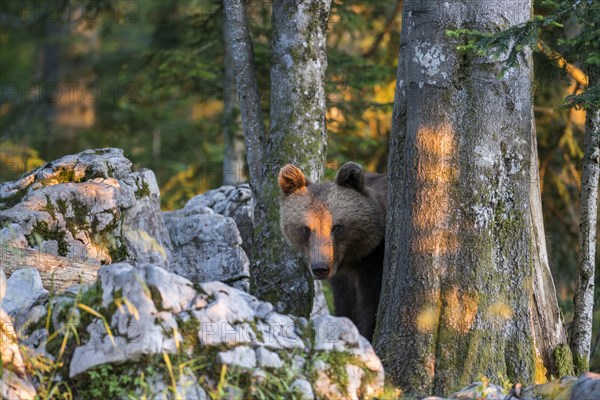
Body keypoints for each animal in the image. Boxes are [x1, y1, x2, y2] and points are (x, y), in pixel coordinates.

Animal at [278, 161, 386, 340]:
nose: (320, 268)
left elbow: (372, 306)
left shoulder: (375, 262)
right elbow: (347, 308)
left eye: (337, 227)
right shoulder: (342, 282)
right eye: (306, 229)